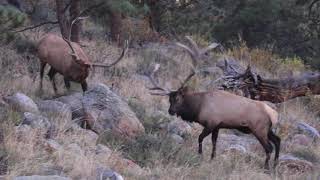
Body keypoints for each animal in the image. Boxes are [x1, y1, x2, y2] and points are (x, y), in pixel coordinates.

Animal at [148, 37, 280, 169]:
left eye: (178, 99)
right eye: (169, 99)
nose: (170, 111)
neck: (198, 107)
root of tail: (274, 114)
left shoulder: (211, 123)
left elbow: (200, 138)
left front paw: (200, 155)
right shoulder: (218, 125)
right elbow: (214, 142)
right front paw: (212, 158)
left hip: (259, 129)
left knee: (269, 147)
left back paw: (267, 167)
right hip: (267, 129)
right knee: (277, 140)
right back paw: (275, 165)